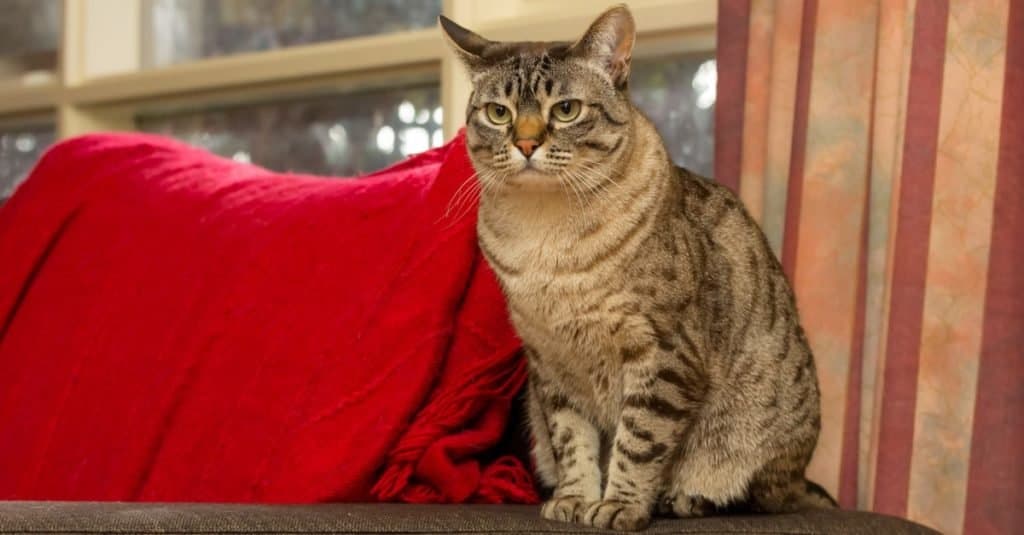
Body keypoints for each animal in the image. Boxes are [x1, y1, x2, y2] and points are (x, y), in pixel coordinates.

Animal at [438, 4, 831, 528]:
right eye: (498, 113)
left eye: (566, 110)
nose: (525, 144)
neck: (546, 244)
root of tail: (802, 478)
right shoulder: (551, 364)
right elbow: (572, 442)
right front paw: (576, 498)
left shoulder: (663, 354)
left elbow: (638, 443)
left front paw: (620, 505)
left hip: (757, 435)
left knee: (755, 495)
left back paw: (681, 498)